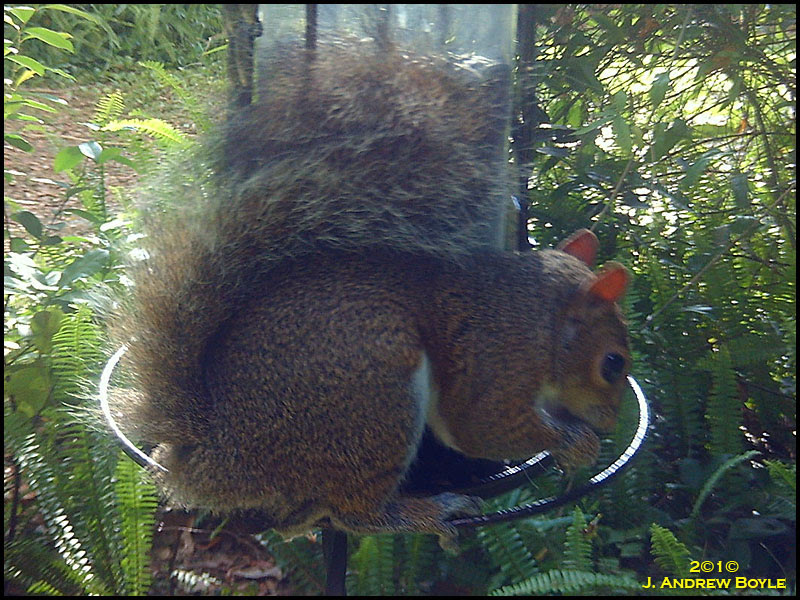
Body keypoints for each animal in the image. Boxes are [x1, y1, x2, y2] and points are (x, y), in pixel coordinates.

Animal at [108, 42, 630, 551]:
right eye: (613, 363)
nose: (610, 423)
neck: (541, 317)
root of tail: (219, 449)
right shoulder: (499, 364)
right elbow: (483, 427)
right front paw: (578, 443)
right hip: (376, 391)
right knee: (357, 513)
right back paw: (428, 511)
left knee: (296, 518)